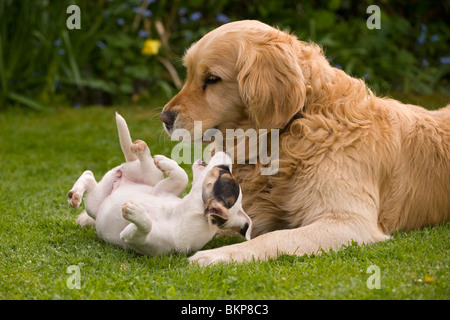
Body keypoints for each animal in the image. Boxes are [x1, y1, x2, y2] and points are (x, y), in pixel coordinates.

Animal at [67, 112, 251, 255]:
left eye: (222, 173)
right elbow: (182, 176)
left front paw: (135, 212)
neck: (180, 212)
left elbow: (144, 227)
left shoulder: (140, 241)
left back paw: (75, 196)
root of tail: (130, 164)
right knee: (90, 175)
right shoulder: (161, 190)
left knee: (90, 179)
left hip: (94, 203)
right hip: (150, 177)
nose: (227, 152)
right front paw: (166, 162)